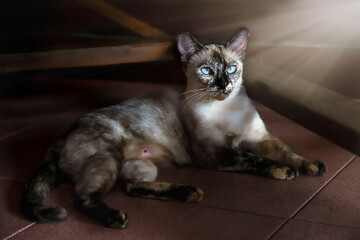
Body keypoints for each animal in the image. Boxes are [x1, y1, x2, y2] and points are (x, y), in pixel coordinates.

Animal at [21, 27, 328, 228]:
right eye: (206, 71)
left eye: (231, 69)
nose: (223, 85)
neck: (227, 110)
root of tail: (66, 133)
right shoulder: (215, 154)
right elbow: (255, 160)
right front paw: (283, 171)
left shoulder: (261, 138)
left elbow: (288, 152)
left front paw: (311, 166)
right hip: (107, 160)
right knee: (83, 199)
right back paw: (117, 218)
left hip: (140, 165)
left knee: (131, 187)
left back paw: (188, 192)